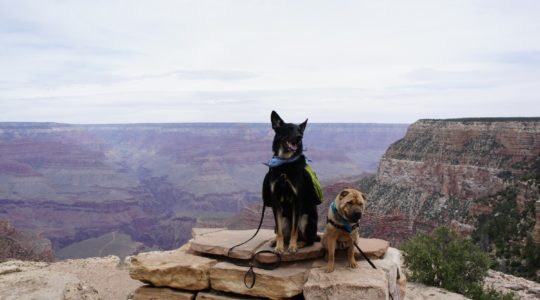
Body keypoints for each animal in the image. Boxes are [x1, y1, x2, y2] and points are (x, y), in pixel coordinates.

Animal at [262, 111, 320, 254]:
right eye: (288, 129)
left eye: (300, 131)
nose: (300, 137)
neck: (285, 164)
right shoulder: (276, 201)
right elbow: (280, 232)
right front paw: (279, 247)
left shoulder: (297, 200)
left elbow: (294, 231)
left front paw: (293, 247)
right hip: (284, 219)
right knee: (283, 233)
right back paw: (276, 242)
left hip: (305, 219)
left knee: (308, 239)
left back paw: (299, 244)